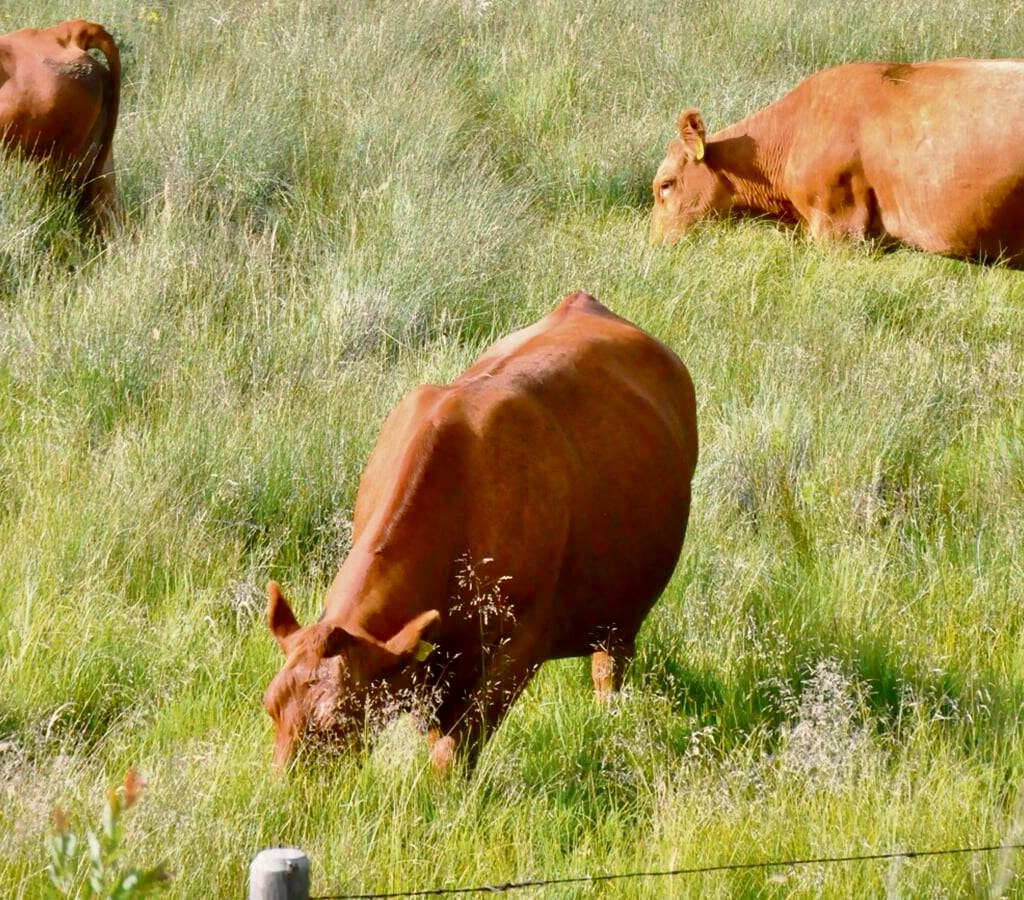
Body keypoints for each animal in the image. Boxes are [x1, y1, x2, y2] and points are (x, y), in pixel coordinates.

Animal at [263, 292, 698, 771]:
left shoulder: (519, 646)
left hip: (618, 615)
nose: (287, 788)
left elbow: (455, 748)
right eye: (270, 705)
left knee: (609, 667)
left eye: (336, 720)